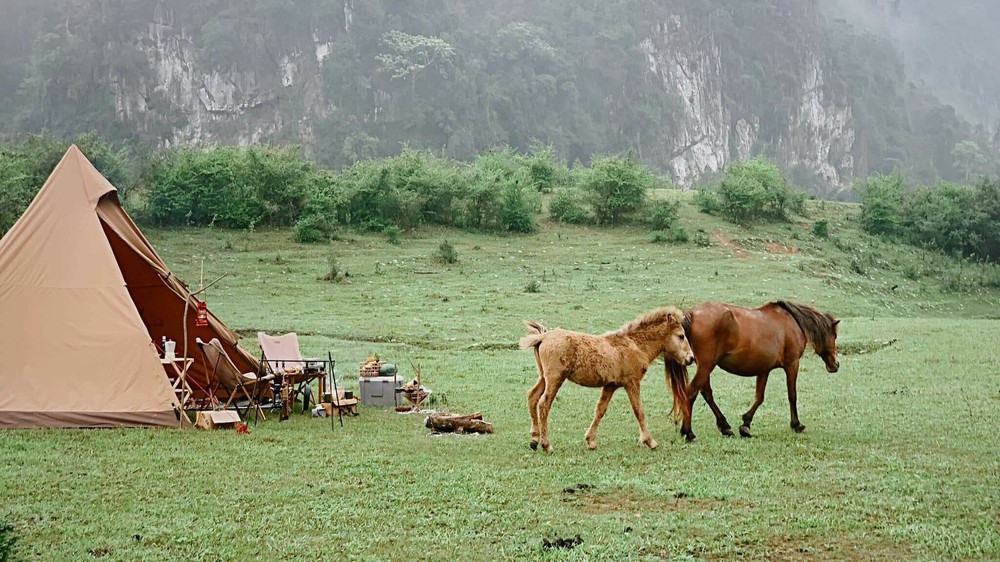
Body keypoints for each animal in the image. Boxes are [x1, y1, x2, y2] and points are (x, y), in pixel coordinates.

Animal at [524, 306, 696, 450]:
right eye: (681, 336)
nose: (691, 358)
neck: (635, 345)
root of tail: (544, 336)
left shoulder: (610, 386)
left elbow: (600, 410)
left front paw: (590, 441)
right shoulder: (632, 383)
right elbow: (639, 410)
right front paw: (650, 441)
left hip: (544, 377)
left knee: (532, 397)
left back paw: (534, 440)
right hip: (555, 379)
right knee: (543, 405)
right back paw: (546, 445)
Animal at [668, 300, 840, 440]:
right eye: (835, 336)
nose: (835, 365)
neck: (793, 322)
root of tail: (692, 314)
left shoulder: (764, 369)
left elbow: (759, 397)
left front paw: (746, 424)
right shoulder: (792, 364)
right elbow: (792, 395)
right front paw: (796, 424)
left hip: (705, 367)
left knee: (706, 393)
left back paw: (724, 426)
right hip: (706, 366)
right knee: (691, 393)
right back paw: (689, 432)